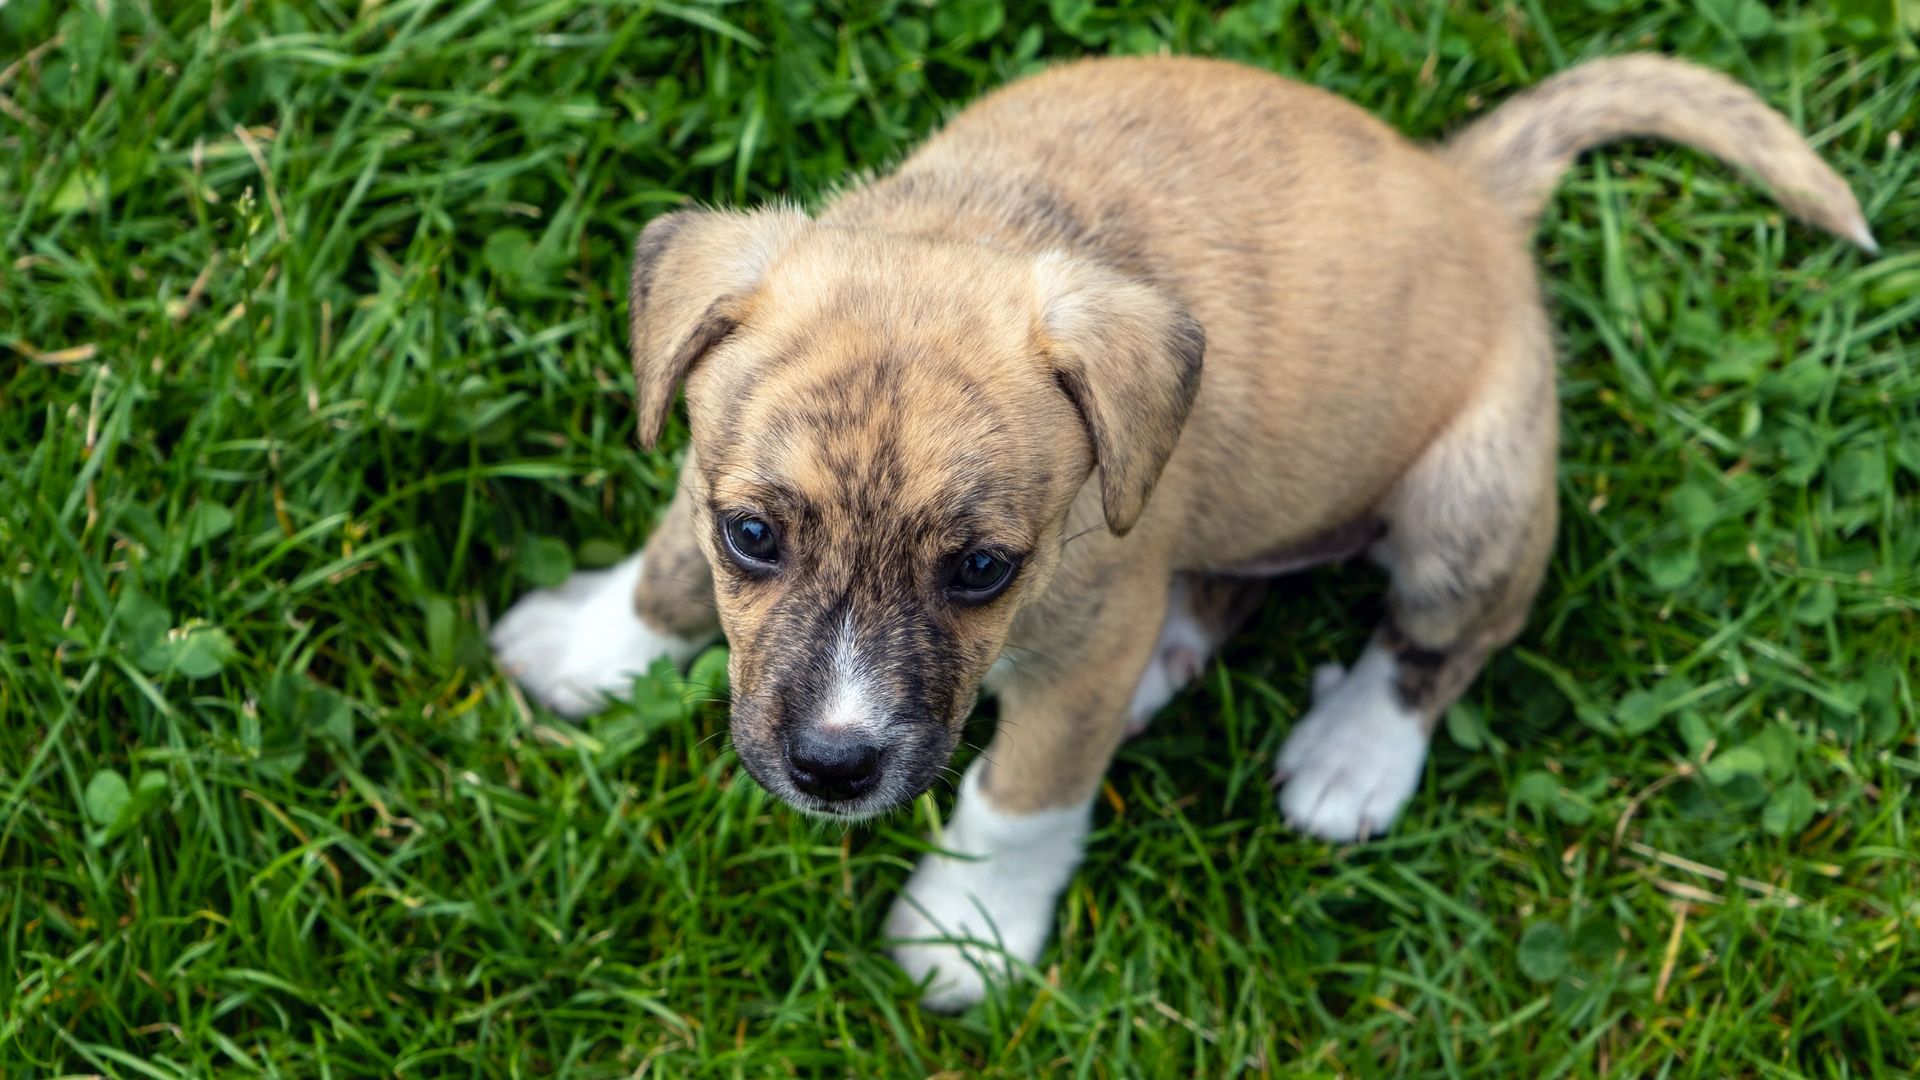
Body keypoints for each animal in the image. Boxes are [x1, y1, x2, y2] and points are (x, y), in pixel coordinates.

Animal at [483, 54, 1873, 1006]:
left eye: (980, 570)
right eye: (755, 537)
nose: (834, 767)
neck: (985, 220)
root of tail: (1471, 189)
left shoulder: (1082, 638)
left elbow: (1023, 796)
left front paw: (965, 933)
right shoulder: (708, 481)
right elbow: (667, 570)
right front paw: (589, 644)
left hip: (1468, 504)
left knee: (1441, 641)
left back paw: (1355, 754)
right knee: (1230, 588)